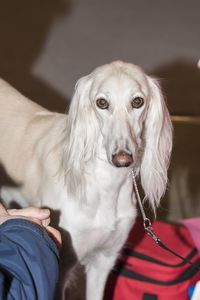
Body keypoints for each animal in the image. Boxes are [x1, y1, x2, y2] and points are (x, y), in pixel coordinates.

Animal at [0, 61, 172, 300]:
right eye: (102, 102)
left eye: (137, 101)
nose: (122, 159)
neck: (104, 184)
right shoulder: (61, 266)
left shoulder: (104, 261)